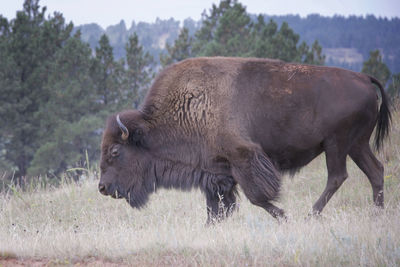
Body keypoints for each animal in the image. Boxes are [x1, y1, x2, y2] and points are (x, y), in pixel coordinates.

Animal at [97, 57, 390, 224]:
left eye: (115, 151)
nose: (102, 187)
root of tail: (364, 78)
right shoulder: (215, 172)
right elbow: (217, 205)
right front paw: (212, 226)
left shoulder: (243, 159)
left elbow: (256, 197)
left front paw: (285, 217)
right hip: (356, 145)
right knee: (375, 171)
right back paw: (376, 215)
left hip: (336, 144)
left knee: (337, 176)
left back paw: (310, 216)